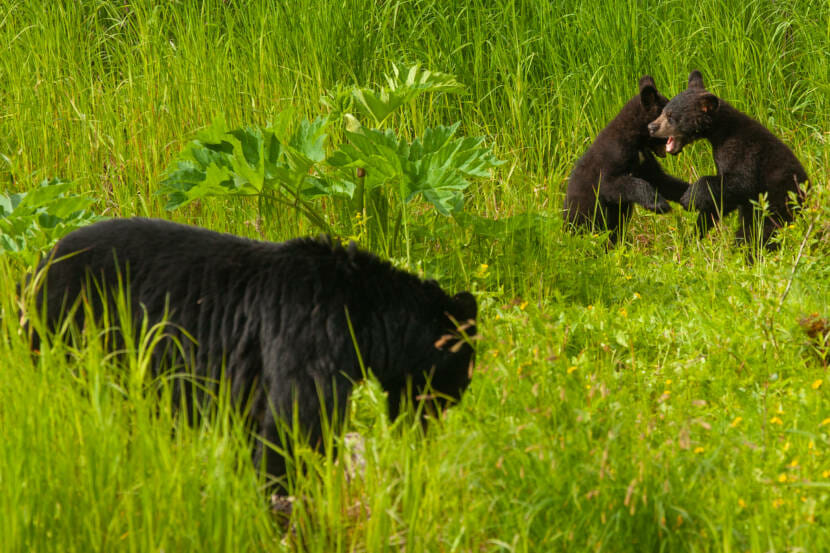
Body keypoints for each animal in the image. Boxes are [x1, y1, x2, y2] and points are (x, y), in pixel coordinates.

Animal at [31, 217, 477, 489]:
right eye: (464, 374)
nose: (436, 423)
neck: (364, 313)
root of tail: (37, 265)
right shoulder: (308, 333)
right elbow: (298, 419)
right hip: (73, 330)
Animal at [564, 75, 689, 243]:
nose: (680, 145)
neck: (636, 140)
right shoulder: (613, 158)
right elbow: (613, 185)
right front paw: (659, 204)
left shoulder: (644, 160)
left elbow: (661, 180)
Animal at [648, 70, 808, 249]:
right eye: (663, 111)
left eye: (671, 116)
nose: (651, 127)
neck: (721, 133)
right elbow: (723, 198)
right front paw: (694, 234)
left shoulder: (743, 151)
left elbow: (741, 181)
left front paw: (690, 196)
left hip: (776, 208)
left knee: (759, 232)